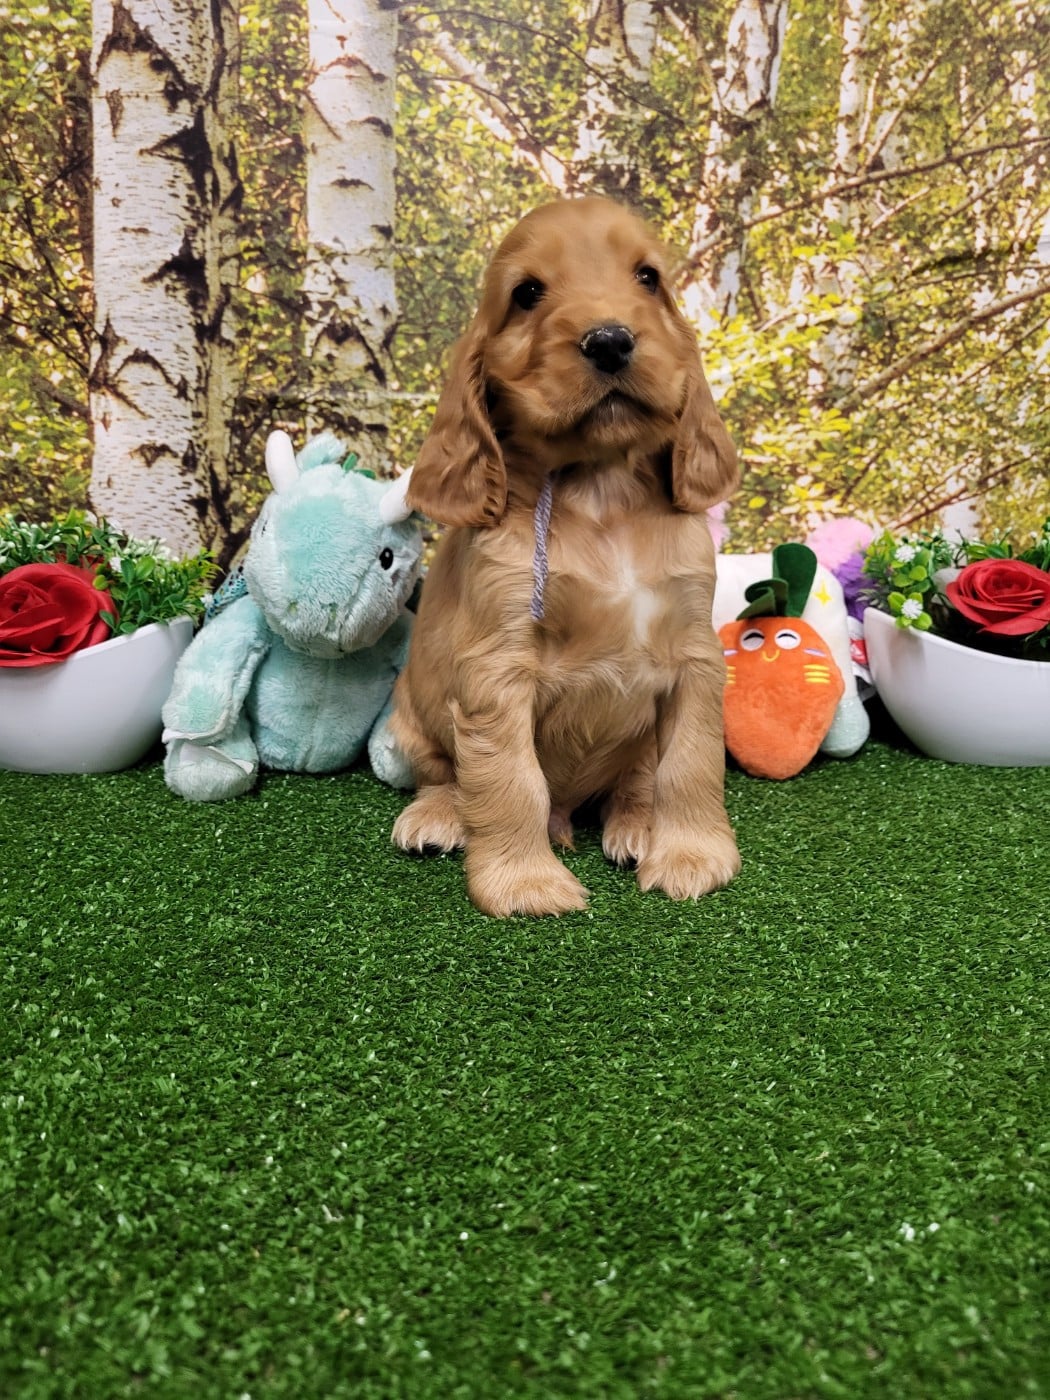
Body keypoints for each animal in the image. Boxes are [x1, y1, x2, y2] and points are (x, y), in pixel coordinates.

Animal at [389, 196, 741, 916]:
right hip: (410, 718)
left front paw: (690, 855)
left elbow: (690, 764)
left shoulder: (695, 658)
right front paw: (526, 882)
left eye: (648, 278)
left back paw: (635, 825)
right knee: (445, 776)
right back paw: (436, 817)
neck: (601, 490)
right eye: (527, 293)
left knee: (639, 778)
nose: (610, 340)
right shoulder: (495, 672)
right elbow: (510, 782)